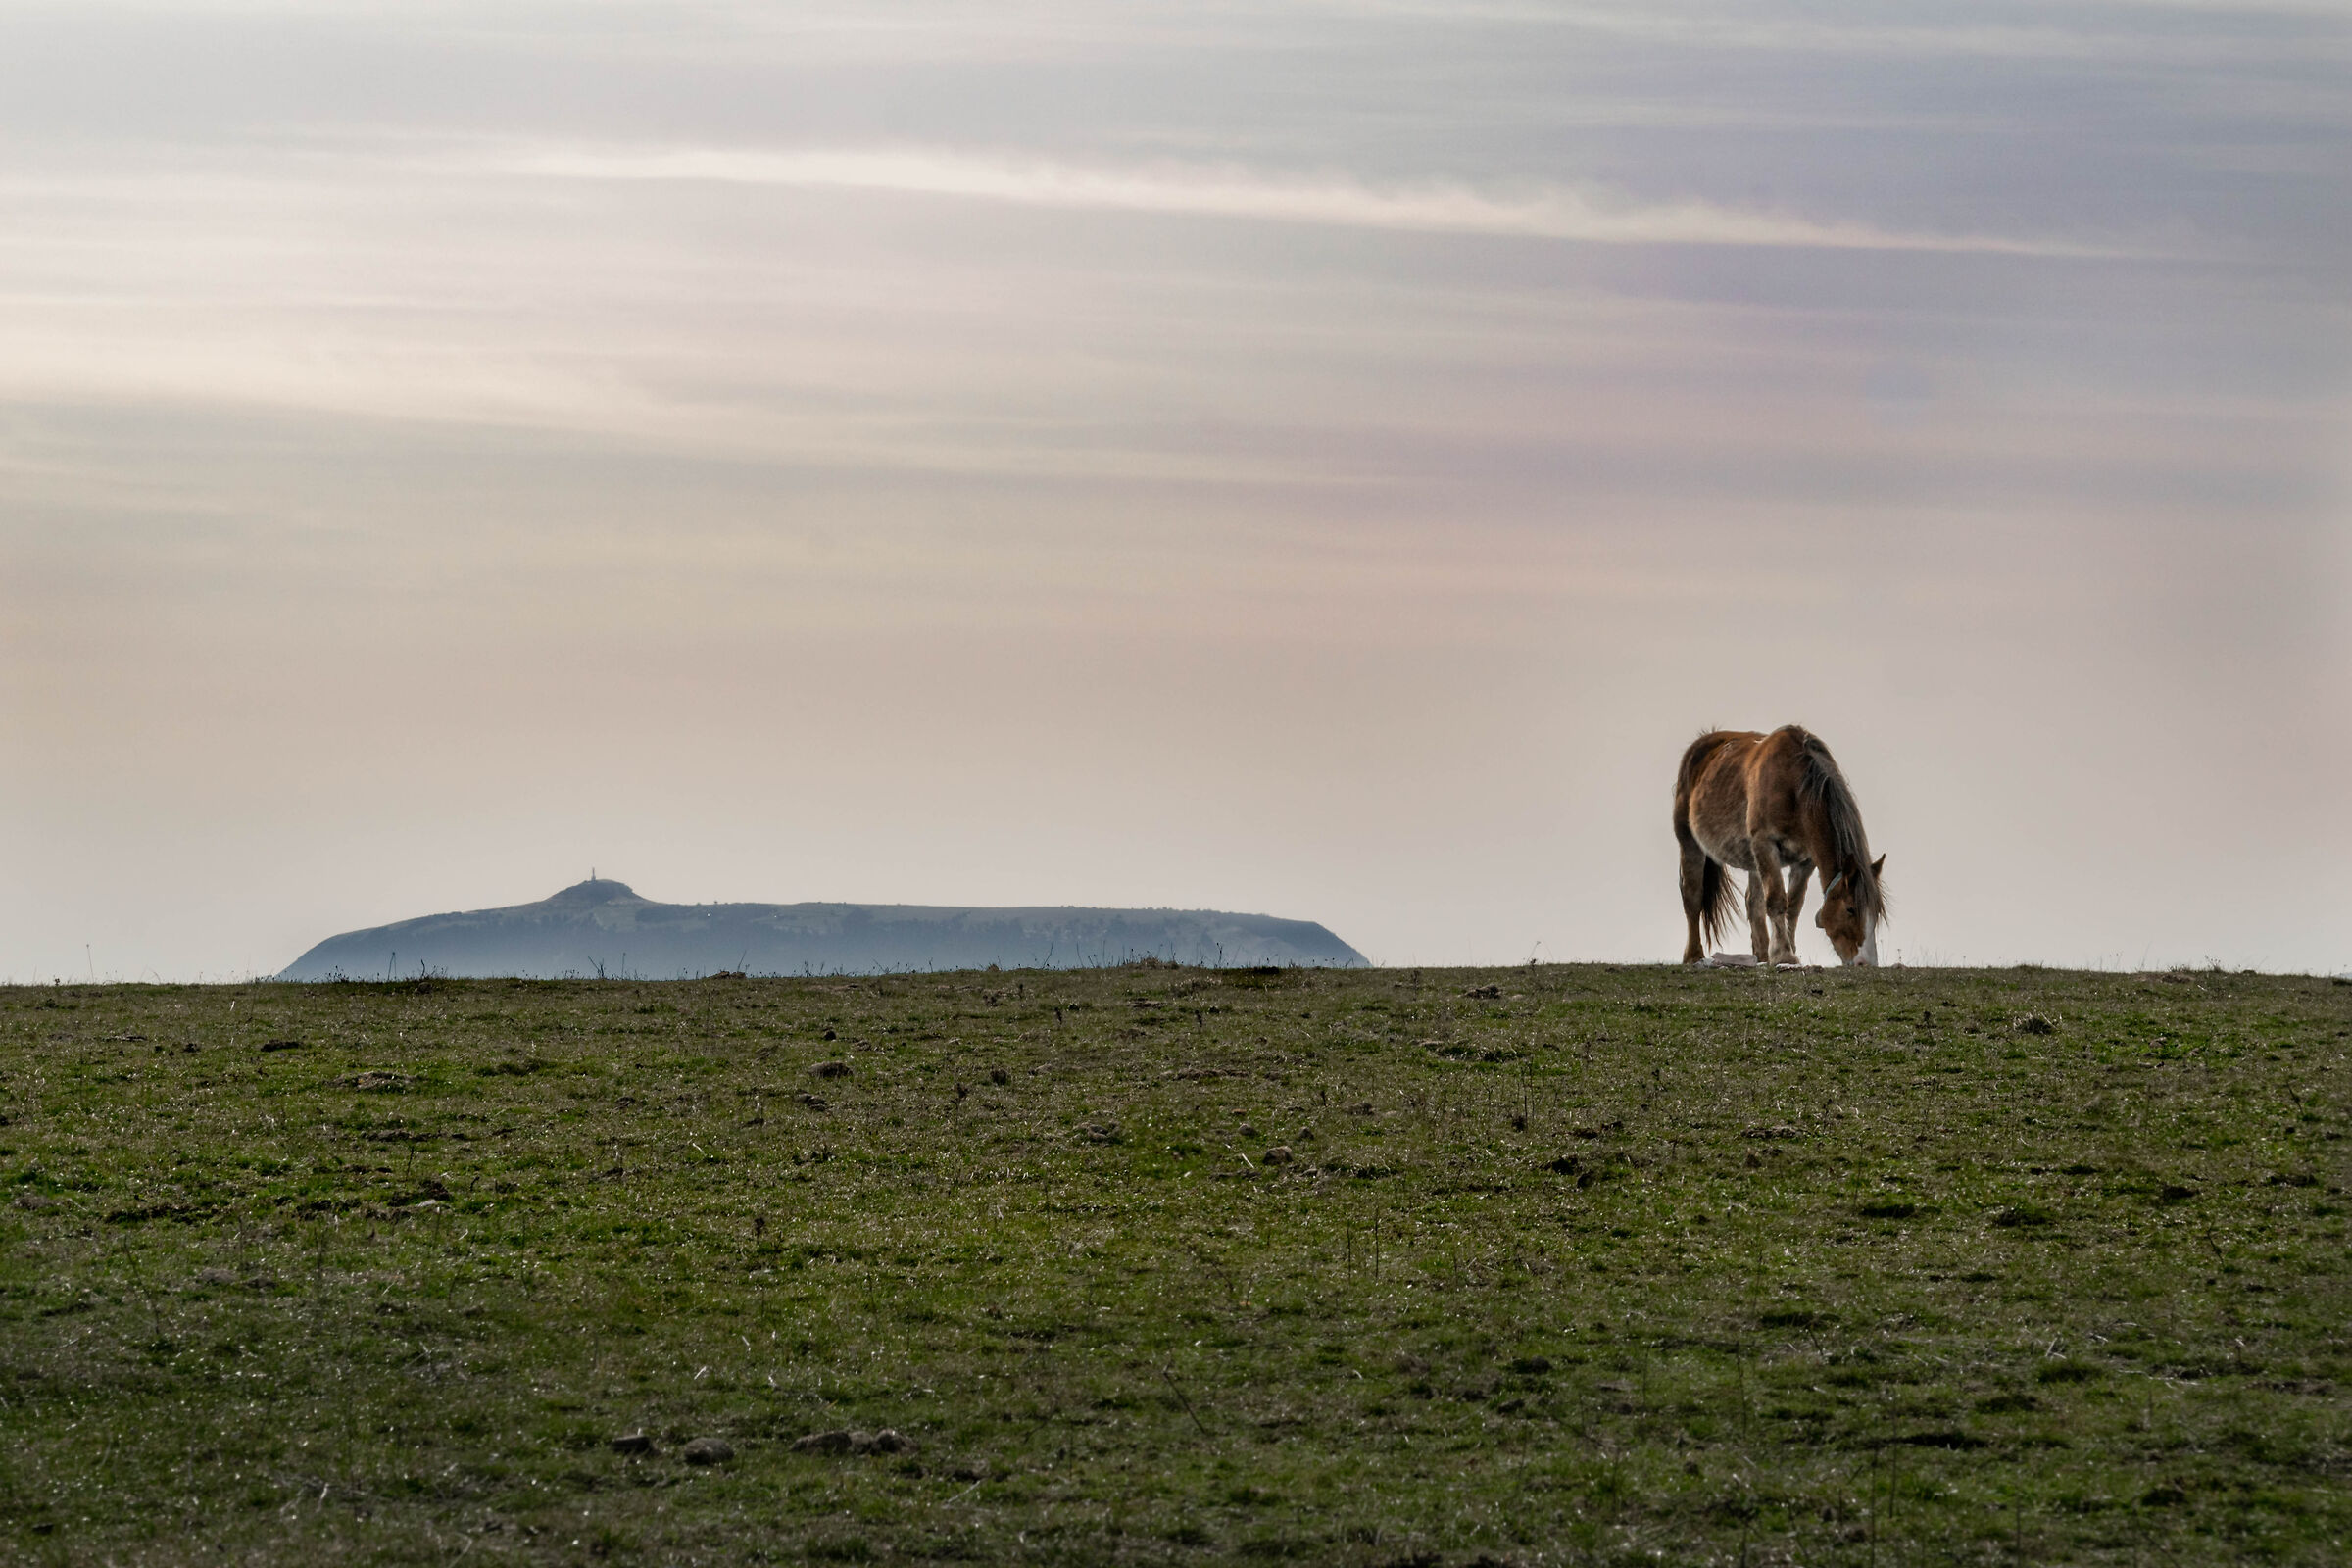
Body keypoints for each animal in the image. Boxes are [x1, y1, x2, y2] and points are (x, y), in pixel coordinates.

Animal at [1672, 726, 1886, 967]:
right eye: (1850, 909)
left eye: (1876, 912)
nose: (1866, 963)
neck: (1794, 787)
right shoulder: (1765, 844)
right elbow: (1776, 900)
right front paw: (1784, 954)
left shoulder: (1806, 860)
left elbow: (1793, 906)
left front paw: (1786, 953)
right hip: (1690, 842)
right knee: (1692, 895)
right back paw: (1694, 955)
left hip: (1753, 859)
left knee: (1753, 903)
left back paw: (1762, 955)